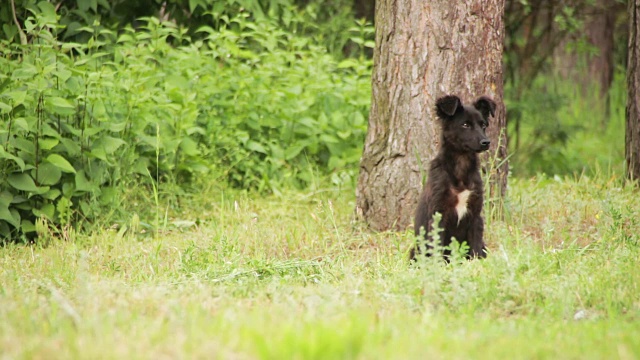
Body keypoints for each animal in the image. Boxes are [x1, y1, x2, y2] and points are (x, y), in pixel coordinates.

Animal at [412, 94, 498, 260]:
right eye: (465, 125)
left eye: (483, 125)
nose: (486, 142)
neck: (461, 166)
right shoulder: (438, 214)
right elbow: (437, 247)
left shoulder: (475, 214)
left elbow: (476, 246)